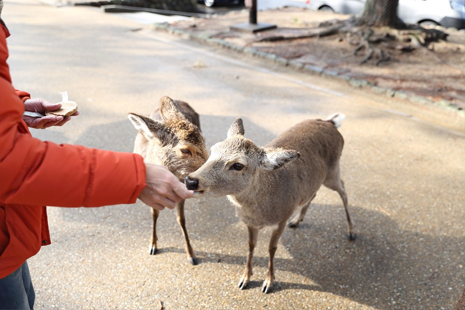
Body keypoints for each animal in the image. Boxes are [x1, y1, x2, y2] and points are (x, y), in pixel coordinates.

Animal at [127, 96, 207, 264]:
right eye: (185, 150)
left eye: (204, 142)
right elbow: (154, 214)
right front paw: (152, 246)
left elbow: (181, 220)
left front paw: (191, 255)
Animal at [184, 114, 352, 294]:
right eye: (213, 149)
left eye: (238, 165)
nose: (191, 180)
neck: (262, 213)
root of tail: (331, 122)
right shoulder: (250, 223)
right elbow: (251, 245)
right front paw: (245, 279)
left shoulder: (282, 218)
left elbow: (272, 248)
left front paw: (268, 283)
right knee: (313, 193)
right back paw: (296, 221)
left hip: (333, 172)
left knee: (343, 190)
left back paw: (351, 232)